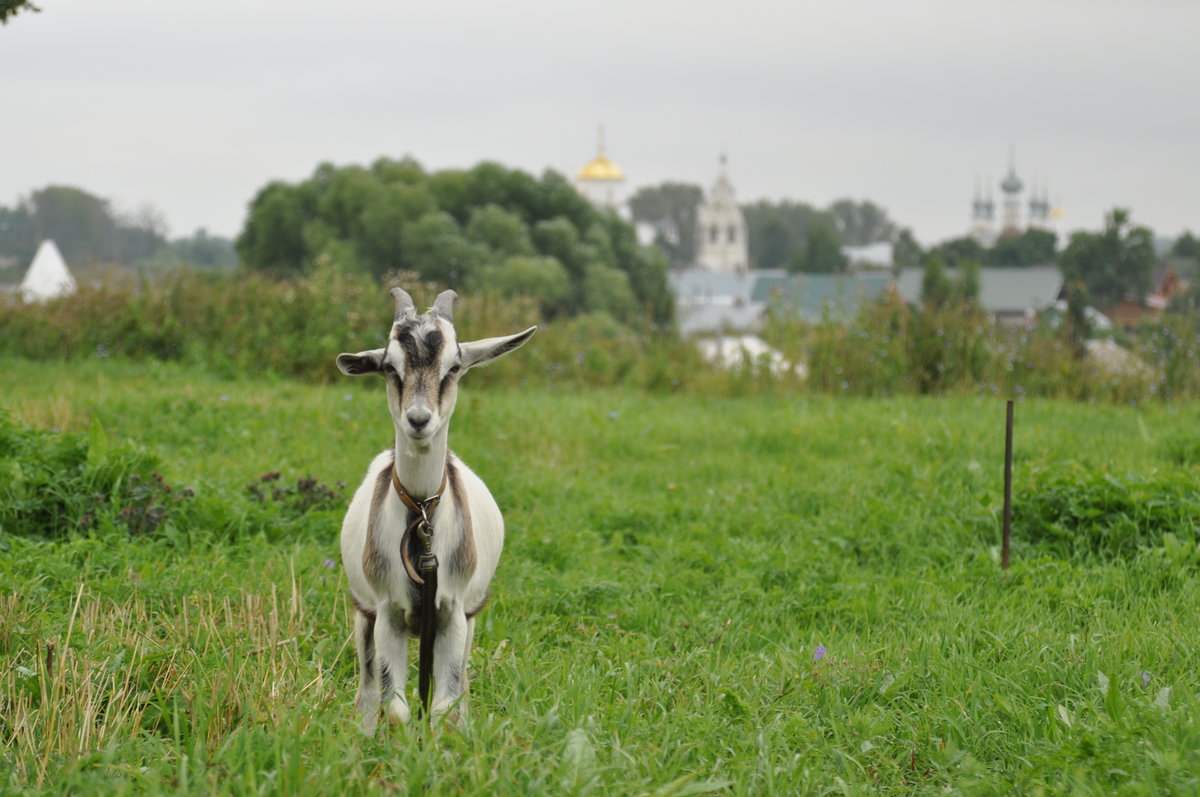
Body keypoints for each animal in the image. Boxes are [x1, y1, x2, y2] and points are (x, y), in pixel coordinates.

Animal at [336, 287, 535, 729]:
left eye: (454, 367)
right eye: (389, 367)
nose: (418, 419)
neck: (421, 514)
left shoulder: (452, 613)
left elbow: (444, 706)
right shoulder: (387, 613)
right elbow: (395, 709)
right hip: (363, 613)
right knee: (366, 692)